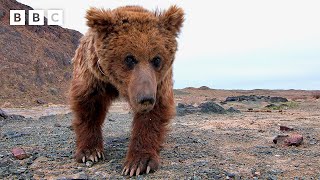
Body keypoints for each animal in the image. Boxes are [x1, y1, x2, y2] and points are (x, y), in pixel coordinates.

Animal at [69, 4, 185, 176]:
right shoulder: (93, 75)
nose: (146, 98)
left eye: (157, 59)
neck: (116, 83)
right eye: (129, 58)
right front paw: (90, 152)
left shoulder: (158, 82)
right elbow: (88, 107)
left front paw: (138, 163)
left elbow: (152, 115)